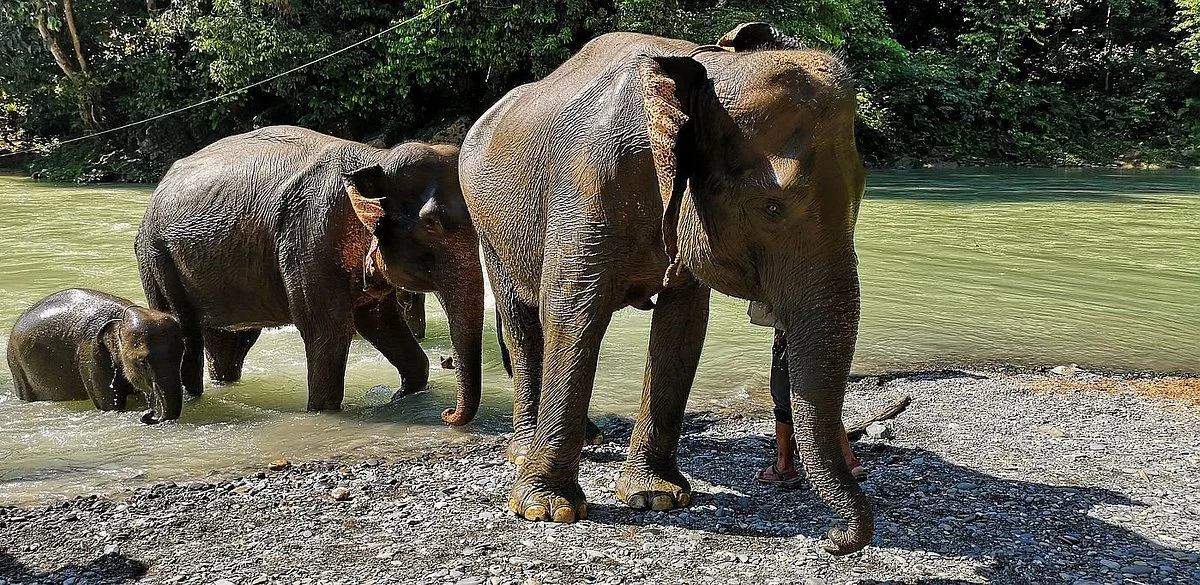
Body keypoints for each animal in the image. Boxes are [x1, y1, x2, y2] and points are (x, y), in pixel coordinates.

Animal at [7, 288, 185, 424]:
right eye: (142, 362)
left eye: (181, 354)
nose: (151, 413)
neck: (122, 317)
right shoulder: (91, 356)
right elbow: (110, 406)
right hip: (17, 367)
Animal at [135, 125, 484, 423]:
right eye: (432, 224)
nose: (447, 414)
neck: (375, 159)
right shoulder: (307, 240)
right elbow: (328, 331)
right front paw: (322, 412)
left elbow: (381, 323)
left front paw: (403, 395)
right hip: (156, 260)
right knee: (188, 337)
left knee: (230, 344)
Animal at [459, 23, 870, 553]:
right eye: (771, 208)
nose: (835, 539)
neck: (703, 69)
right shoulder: (585, 186)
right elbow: (570, 314)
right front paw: (548, 510)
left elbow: (683, 325)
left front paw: (657, 499)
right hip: (487, 224)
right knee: (523, 323)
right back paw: (521, 451)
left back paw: (588, 440)